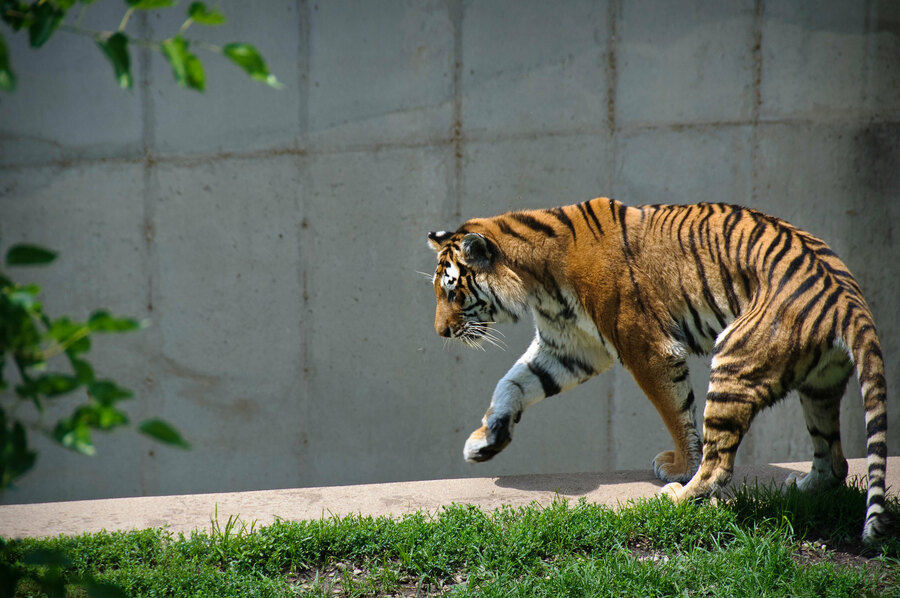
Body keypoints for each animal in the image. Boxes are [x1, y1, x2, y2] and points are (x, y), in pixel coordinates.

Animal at [426, 198, 890, 544]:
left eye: (453, 292)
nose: (440, 332)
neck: (537, 281)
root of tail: (847, 296)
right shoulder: (570, 349)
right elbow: (513, 383)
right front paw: (486, 440)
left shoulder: (645, 347)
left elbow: (674, 410)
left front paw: (681, 464)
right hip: (818, 386)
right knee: (835, 461)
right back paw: (803, 488)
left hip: (735, 362)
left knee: (720, 465)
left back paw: (678, 497)